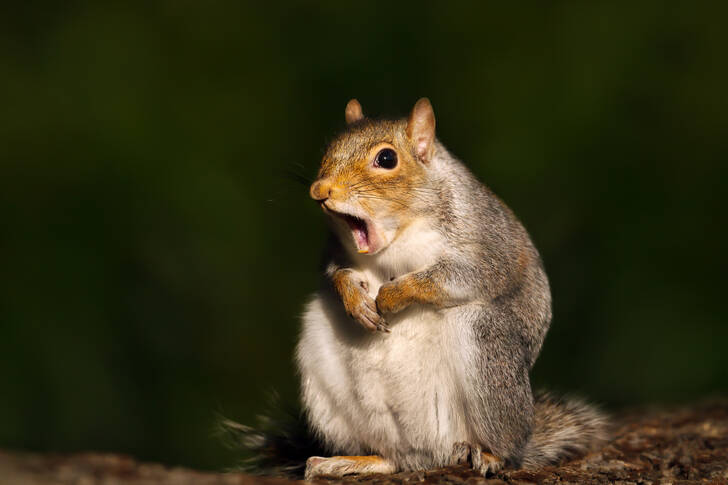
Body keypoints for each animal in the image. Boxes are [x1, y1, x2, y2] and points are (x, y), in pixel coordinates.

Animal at [294, 97, 608, 476]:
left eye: (386, 159)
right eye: (329, 148)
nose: (319, 190)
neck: (397, 236)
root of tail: (429, 452)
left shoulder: (487, 246)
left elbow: (457, 277)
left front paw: (393, 296)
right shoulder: (333, 252)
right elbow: (336, 273)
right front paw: (356, 300)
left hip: (486, 347)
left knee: (507, 445)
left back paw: (490, 455)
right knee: (391, 459)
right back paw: (351, 461)